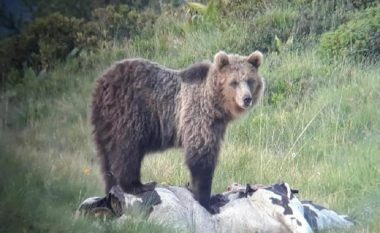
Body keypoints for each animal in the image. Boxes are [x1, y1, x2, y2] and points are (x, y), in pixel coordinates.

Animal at [91, 50, 264, 211]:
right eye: (234, 82)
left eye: (250, 80)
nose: (246, 99)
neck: (215, 104)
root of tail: (102, 82)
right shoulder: (198, 116)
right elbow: (201, 157)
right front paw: (205, 201)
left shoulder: (216, 125)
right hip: (128, 113)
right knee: (127, 151)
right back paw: (138, 185)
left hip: (105, 123)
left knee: (106, 158)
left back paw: (112, 189)